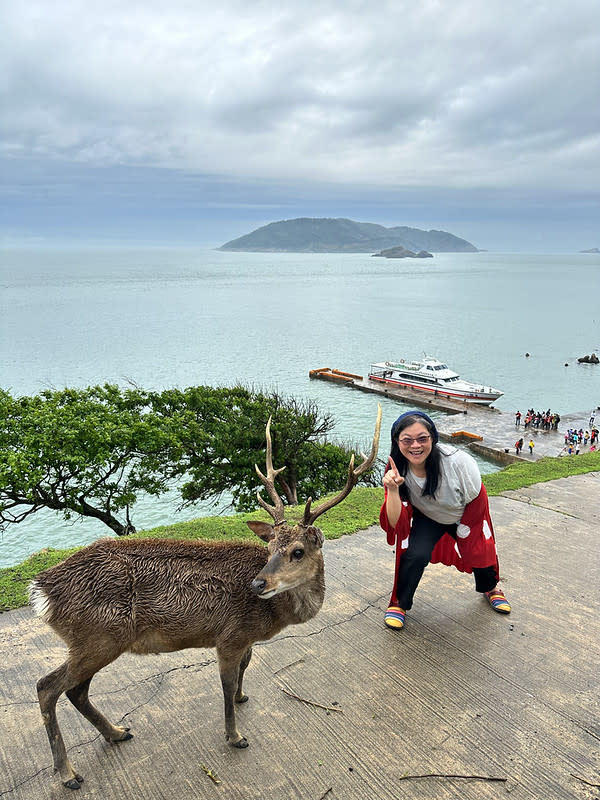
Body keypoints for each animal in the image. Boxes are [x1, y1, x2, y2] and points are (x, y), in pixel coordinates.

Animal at [29, 406, 380, 788]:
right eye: (270, 546)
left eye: (297, 551)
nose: (258, 584)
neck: (271, 616)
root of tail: (42, 589)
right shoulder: (229, 636)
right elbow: (225, 686)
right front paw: (235, 735)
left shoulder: (243, 638)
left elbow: (245, 666)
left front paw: (243, 696)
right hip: (99, 635)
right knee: (48, 687)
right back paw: (68, 773)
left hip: (94, 640)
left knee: (75, 691)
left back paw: (118, 733)